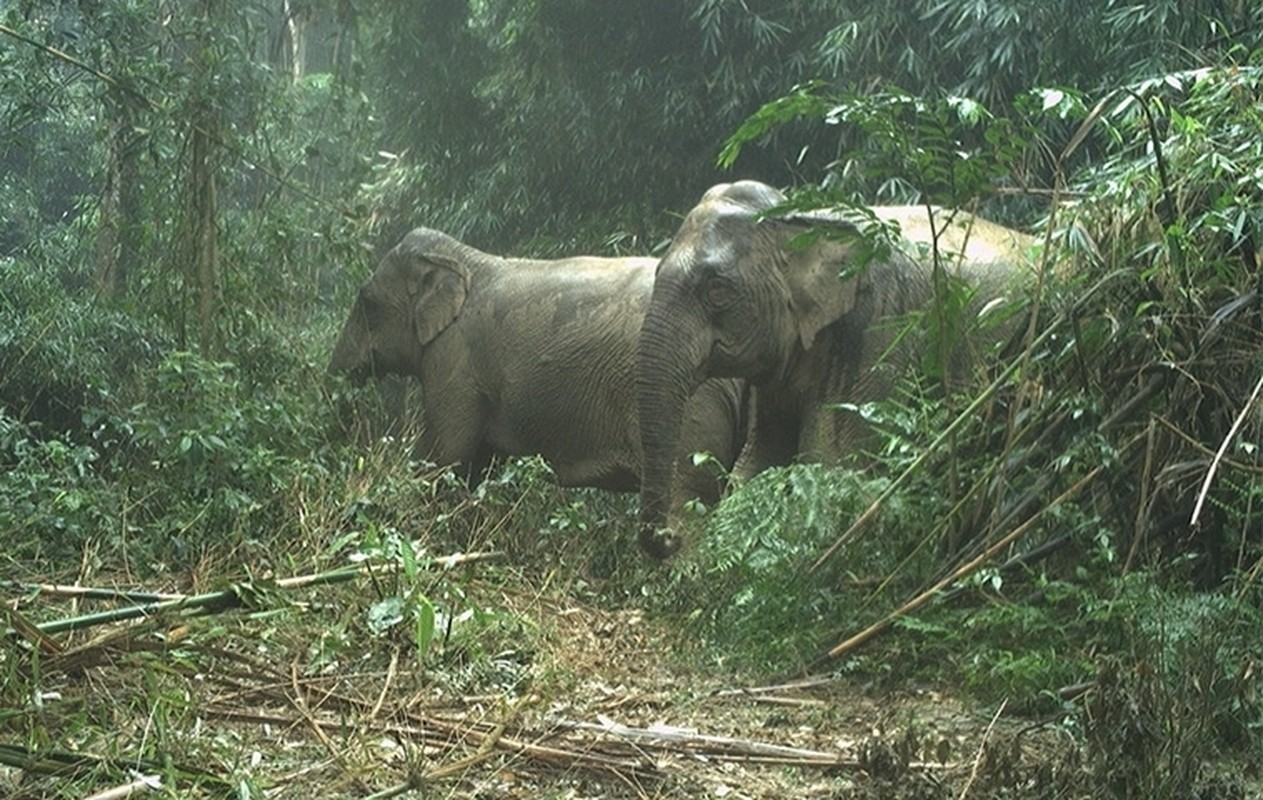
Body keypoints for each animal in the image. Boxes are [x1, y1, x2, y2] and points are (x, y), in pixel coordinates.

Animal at [328, 226, 747, 505]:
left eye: (366, 301)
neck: (465, 258)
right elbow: (479, 463)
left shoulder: (457, 360)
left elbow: (445, 453)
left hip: (691, 409)